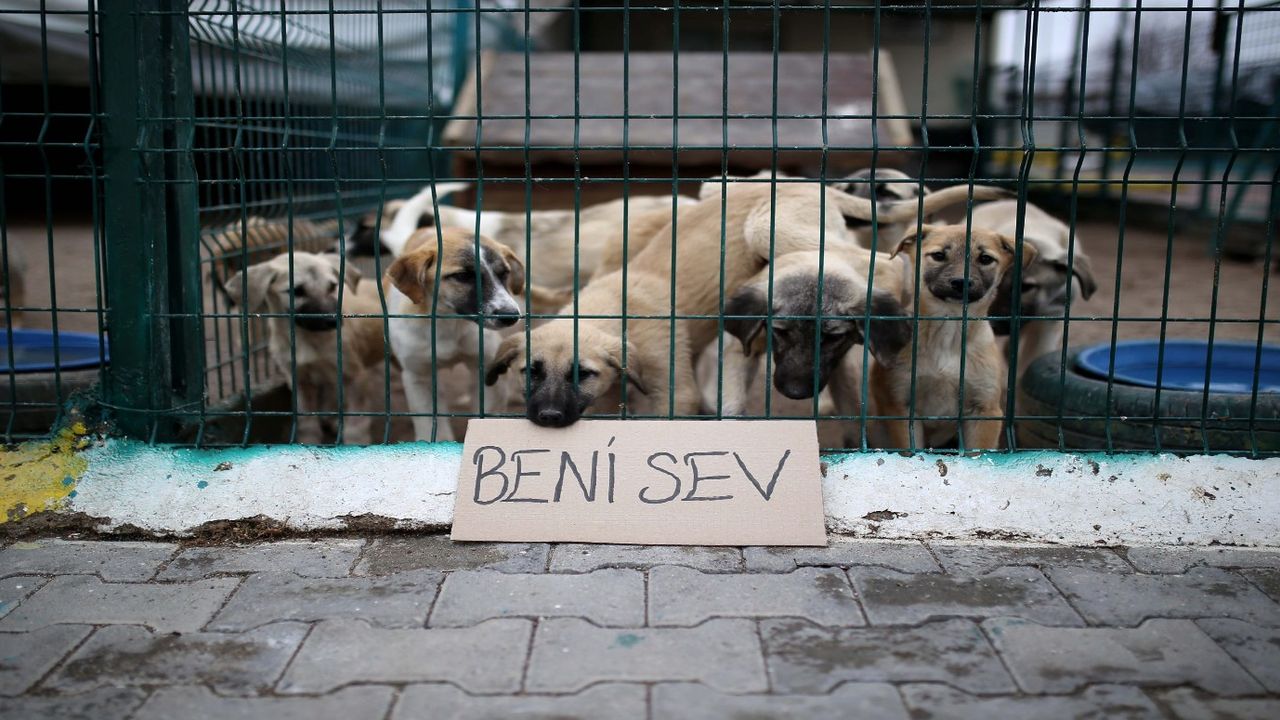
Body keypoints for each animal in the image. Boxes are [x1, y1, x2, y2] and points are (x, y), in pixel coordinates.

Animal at [225, 251, 384, 443]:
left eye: (332, 286)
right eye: (297, 291)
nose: (333, 321)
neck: (306, 339)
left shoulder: (354, 377)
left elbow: (356, 425)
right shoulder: (300, 381)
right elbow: (307, 423)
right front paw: (309, 442)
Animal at [386, 225, 527, 438]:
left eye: (504, 273)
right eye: (463, 276)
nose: (510, 316)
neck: (449, 324)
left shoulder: (486, 369)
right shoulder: (418, 377)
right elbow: (431, 426)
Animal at [870, 222, 1039, 448]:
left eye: (985, 259)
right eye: (938, 255)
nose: (961, 282)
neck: (949, 336)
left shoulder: (984, 410)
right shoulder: (903, 406)